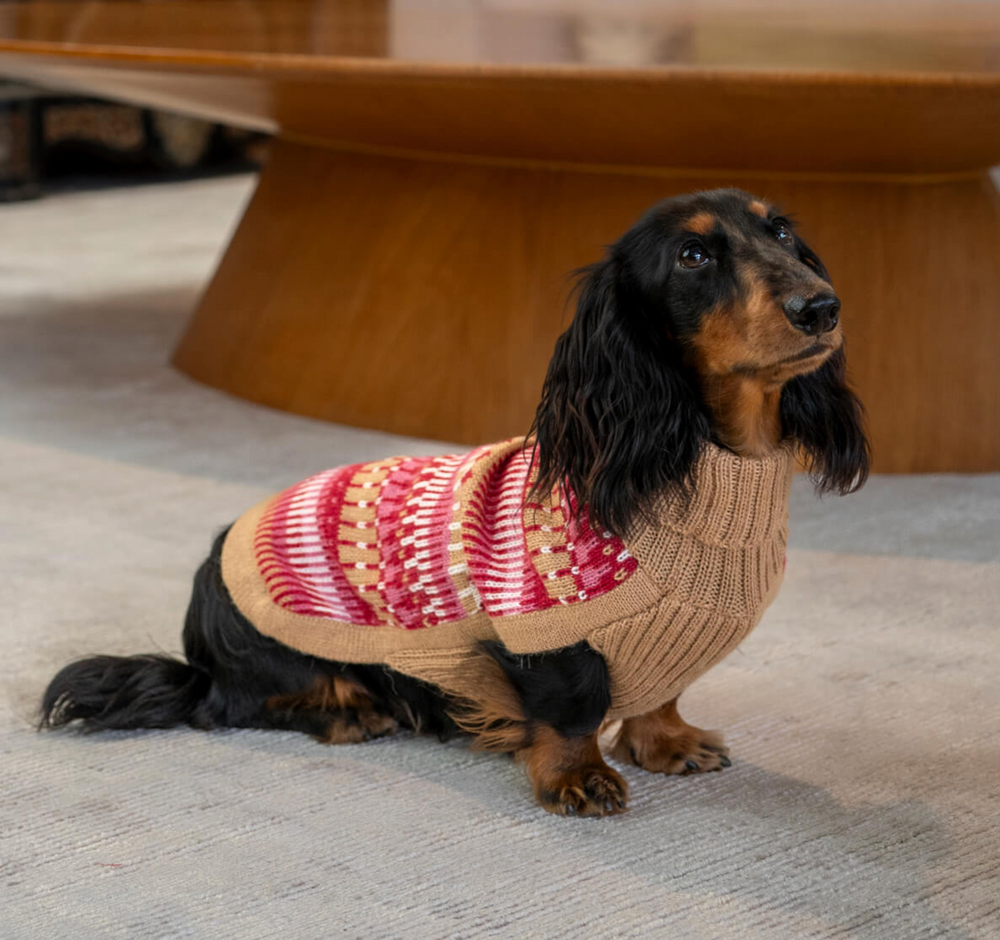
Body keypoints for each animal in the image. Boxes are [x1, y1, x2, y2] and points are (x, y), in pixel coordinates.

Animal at [40, 189, 869, 817]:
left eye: (782, 231)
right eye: (694, 257)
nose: (823, 308)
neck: (702, 468)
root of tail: (207, 587)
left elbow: (661, 690)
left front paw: (667, 739)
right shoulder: (543, 630)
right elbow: (571, 709)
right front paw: (579, 777)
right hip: (273, 654)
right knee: (233, 706)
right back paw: (349, 711)